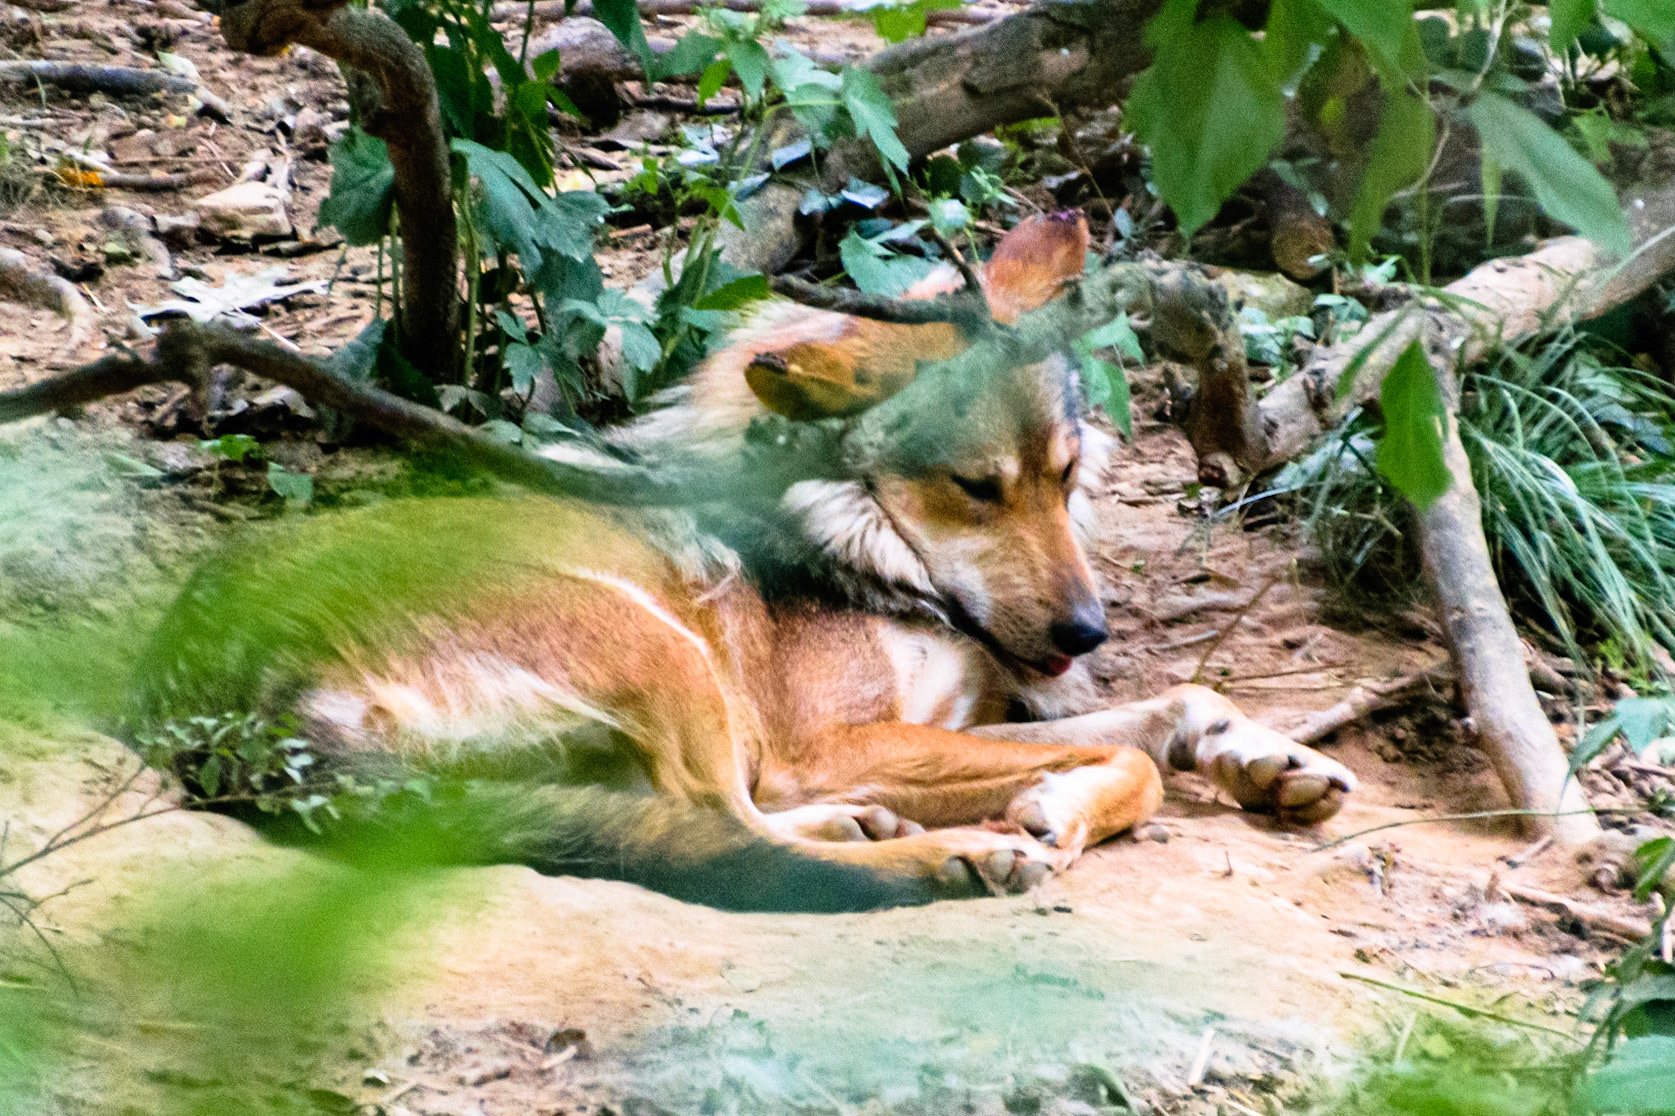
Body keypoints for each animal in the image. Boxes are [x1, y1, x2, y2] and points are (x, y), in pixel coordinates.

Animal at [131, 212, 1356, 911]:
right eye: (975, 488)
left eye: (1062, 475)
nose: (1086, 633)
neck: (857, 540)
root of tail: (211, 697)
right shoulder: (828, 743)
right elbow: (1124, 758)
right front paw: (1052, 810)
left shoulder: (950, 716)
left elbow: (1166, 715)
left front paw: (1264, 760)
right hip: (664, 652)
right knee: (718, 828)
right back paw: (945, 859)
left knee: (700, 824)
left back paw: (885, 830)